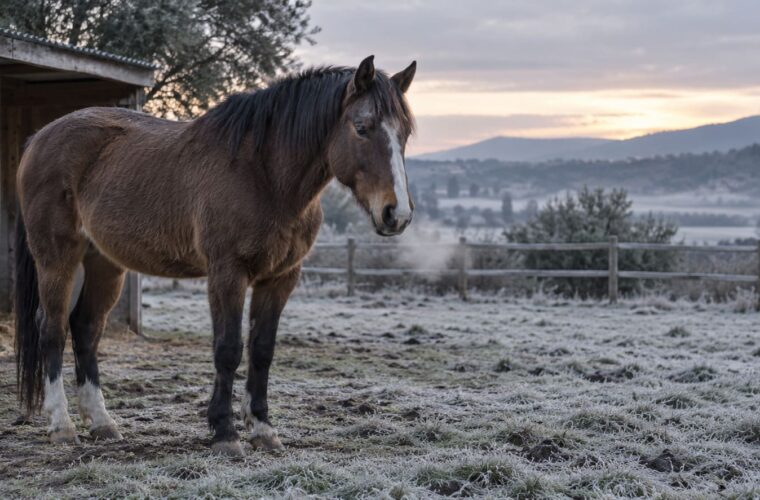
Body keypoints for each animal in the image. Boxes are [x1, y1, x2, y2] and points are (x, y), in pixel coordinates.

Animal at [14, 55, 416, 456]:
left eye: (406, 133)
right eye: (362, 127)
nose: (396, 214)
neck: (264, 175)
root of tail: (37, 139)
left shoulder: (280, 278)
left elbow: (262, 350)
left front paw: (263, 429)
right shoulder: (228, 273)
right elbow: (228, 349)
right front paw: (225, 432)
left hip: (104, 263)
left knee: (85, 328)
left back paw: (102, 423)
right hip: (57, 258)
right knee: (52, 328)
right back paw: (62, 425)